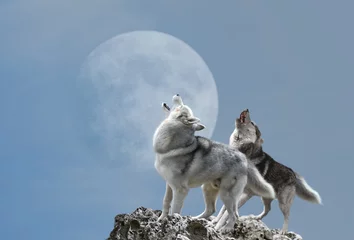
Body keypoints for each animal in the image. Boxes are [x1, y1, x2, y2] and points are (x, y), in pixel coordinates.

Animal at [152, 95, 274, 231]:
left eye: (181, 106)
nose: (178, 94)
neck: (169, 147)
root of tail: (244, 158)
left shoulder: (181, 190)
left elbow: (174, 210)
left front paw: (172, 223)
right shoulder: (169, 185)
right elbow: (166, 202)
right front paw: (161, 220)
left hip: (226, 195)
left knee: (233, 215)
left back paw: (225, 229)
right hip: (208, 189)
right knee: (212, 210)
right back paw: (195, 220)